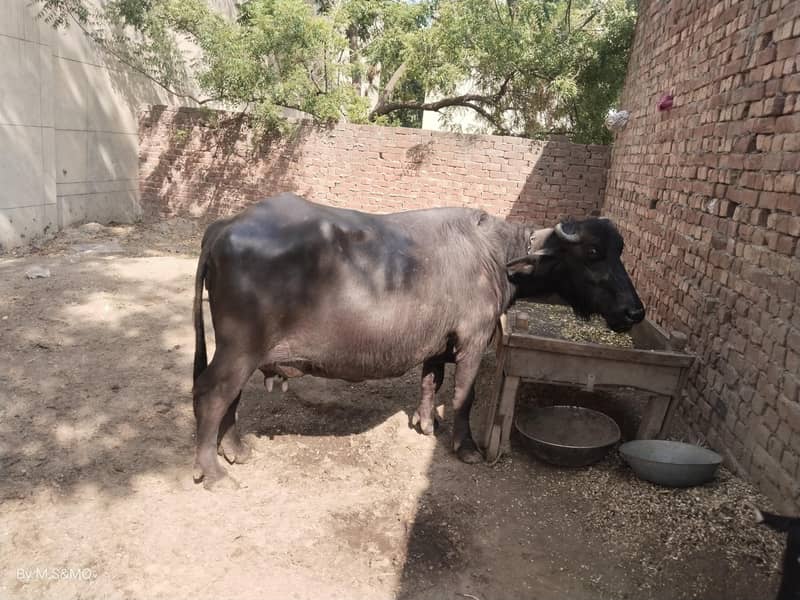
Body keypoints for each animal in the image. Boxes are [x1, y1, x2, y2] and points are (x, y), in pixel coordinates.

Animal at [191, 192, 644, 487]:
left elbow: (431, 382)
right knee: (212, 395)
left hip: (242, 351)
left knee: (229, 397)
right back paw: (213, 471)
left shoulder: (438, 343)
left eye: (619, 251)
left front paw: (426, 422)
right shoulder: (474, 338)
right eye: (592, 253)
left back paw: (235, 449)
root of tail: (225, 227)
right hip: (240, 347)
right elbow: (464, 395)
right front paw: (465, 447)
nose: (634, 312)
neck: (495, 257)